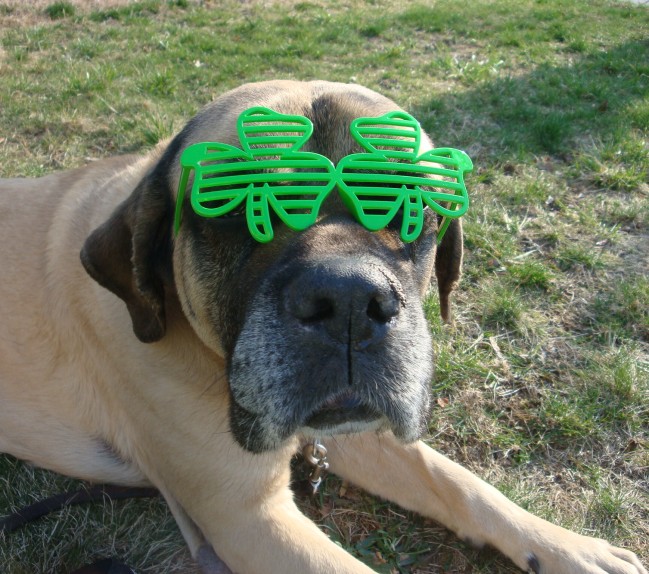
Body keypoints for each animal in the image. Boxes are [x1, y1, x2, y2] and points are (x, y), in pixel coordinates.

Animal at [0, 81, 644, 574]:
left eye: (410, 204)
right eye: (240, 208)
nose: (351, 299)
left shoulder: (358, 426)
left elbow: (458, 481)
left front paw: (566, 546)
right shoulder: (246, 514)